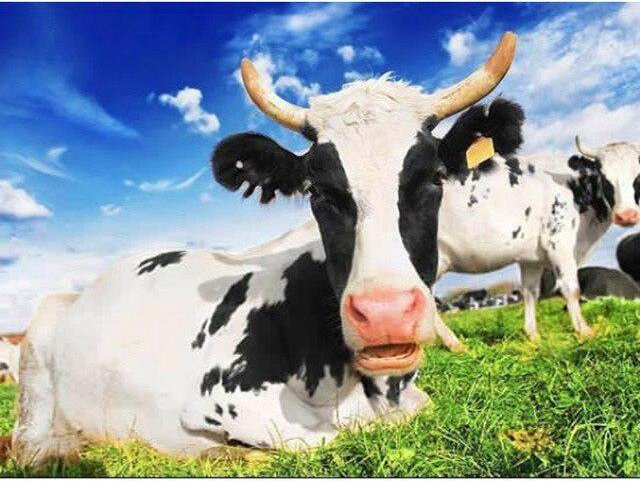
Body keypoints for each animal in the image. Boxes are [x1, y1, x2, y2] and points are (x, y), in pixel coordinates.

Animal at [11, 33, 518, 465]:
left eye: (434, 178)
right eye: (318, 191)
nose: (385, 312)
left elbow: (418, 407)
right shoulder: (224, 400)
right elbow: (331, 435)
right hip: (37, 341)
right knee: (27, 441)